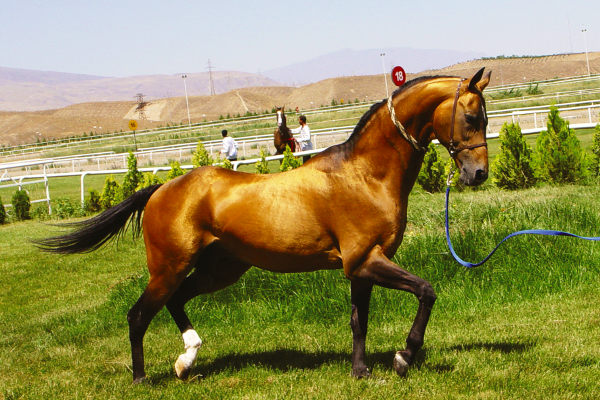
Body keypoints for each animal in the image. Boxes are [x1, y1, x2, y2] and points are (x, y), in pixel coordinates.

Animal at [34, 68, 492, 382]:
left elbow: (359, 320)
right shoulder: (365, 260)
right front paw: (402, 358)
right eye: (472, 118)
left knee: (176, 302)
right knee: (138, 315)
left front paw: (360, 371)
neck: (364, 174)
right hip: (169, 267)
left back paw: (187, 359)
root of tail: (162, 188)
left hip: (220, 269)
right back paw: (143, 377)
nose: (478, 174)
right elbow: (426, 291)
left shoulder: (362, 266)